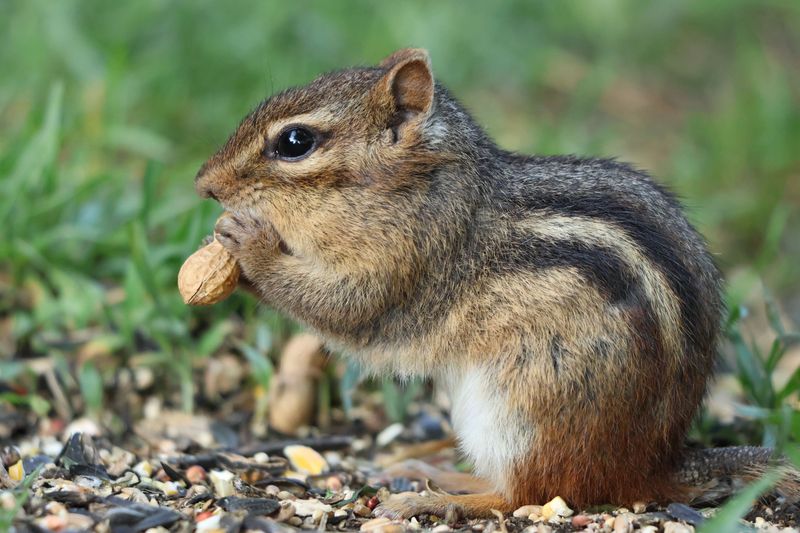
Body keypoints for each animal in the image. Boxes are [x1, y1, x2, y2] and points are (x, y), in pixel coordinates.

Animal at [193, 48, 797, 518]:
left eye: (295, 142)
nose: (203, 185)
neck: (420, 186)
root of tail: (654, 466)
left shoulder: (407, 264)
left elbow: (343, 309)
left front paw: (248, 243)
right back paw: (434, 470)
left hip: (522, 411)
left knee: (532, 493)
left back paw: (432, 499)